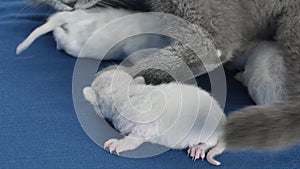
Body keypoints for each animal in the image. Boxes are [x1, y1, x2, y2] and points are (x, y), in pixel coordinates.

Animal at [83, 68, 226, 165]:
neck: (127, 92)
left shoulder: (145, 124)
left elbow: (136, 137)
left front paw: (118, 144)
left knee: (211, 142)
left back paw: (199, 148)